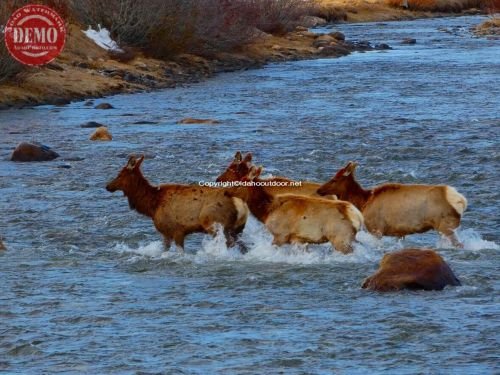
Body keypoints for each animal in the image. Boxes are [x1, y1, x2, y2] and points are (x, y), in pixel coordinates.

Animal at [105, 156, 248, 253]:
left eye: (120, 174)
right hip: (237, 229)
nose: (107, 186)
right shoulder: (167, 233)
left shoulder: (177, 229)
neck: (152, 205)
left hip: (213, 222)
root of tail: (239, 203)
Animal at [225, 166, 362, 254]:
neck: (266, 211)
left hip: (340, 239)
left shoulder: (280, 235)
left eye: (240, 182)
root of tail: (357, 217)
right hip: (350, 238)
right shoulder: (298, 239)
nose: (226, 191)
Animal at [318, 161, 466, 247]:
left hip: (445, 225)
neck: (364, 201)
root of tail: (460, 200)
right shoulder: (399, 232)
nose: (319, 190)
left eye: (334, 179)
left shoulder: (376, 228)